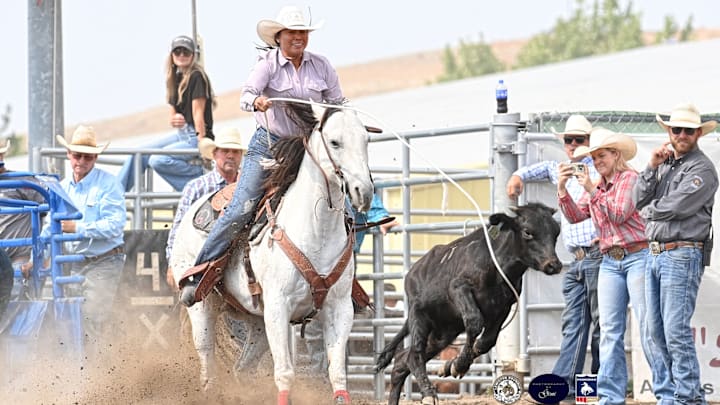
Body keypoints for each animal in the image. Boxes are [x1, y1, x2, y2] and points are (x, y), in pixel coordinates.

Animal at [172, 104, 374, 404]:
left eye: (366, 140)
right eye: (335, 142)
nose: (365, 192)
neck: (317, 228)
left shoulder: (339, 308)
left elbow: (337, 373)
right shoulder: (279, 307)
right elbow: (285, 373)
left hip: (256, 321)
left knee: (241, 369)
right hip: (202, 309)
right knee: (208, 365)